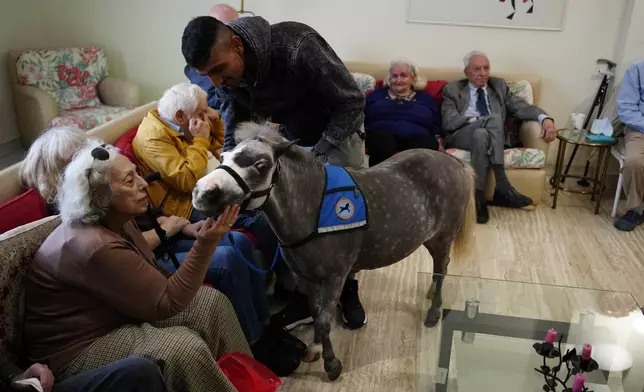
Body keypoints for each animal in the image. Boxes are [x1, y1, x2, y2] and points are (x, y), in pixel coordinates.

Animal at [194, 121, 476, 380]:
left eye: (261, 164)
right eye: (223, 157)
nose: (202, 193)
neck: (314, 209)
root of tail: (453, 161)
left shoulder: (335, 278)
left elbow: (325, 319)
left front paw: (331, 364)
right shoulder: (307, 278)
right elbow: (316, 312)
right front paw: (316, 347)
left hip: (443, 237)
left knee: (442, 269)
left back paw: (434, 312)